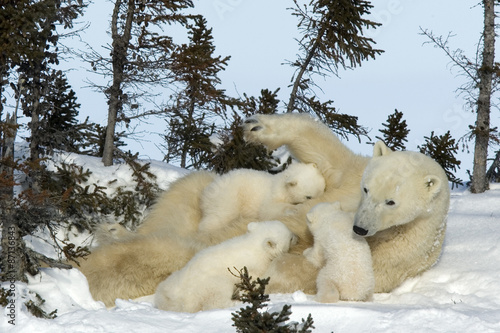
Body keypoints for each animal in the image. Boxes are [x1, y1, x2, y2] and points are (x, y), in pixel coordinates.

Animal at [78, 113, 450, 304]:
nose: (359, 227)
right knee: (186, 193)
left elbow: (302, 263)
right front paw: (259, 128)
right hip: (192, 203)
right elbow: (324, 151)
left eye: (392, 201)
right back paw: (113, 230)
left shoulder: (393, 252)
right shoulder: (350, 174)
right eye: (367, 188)